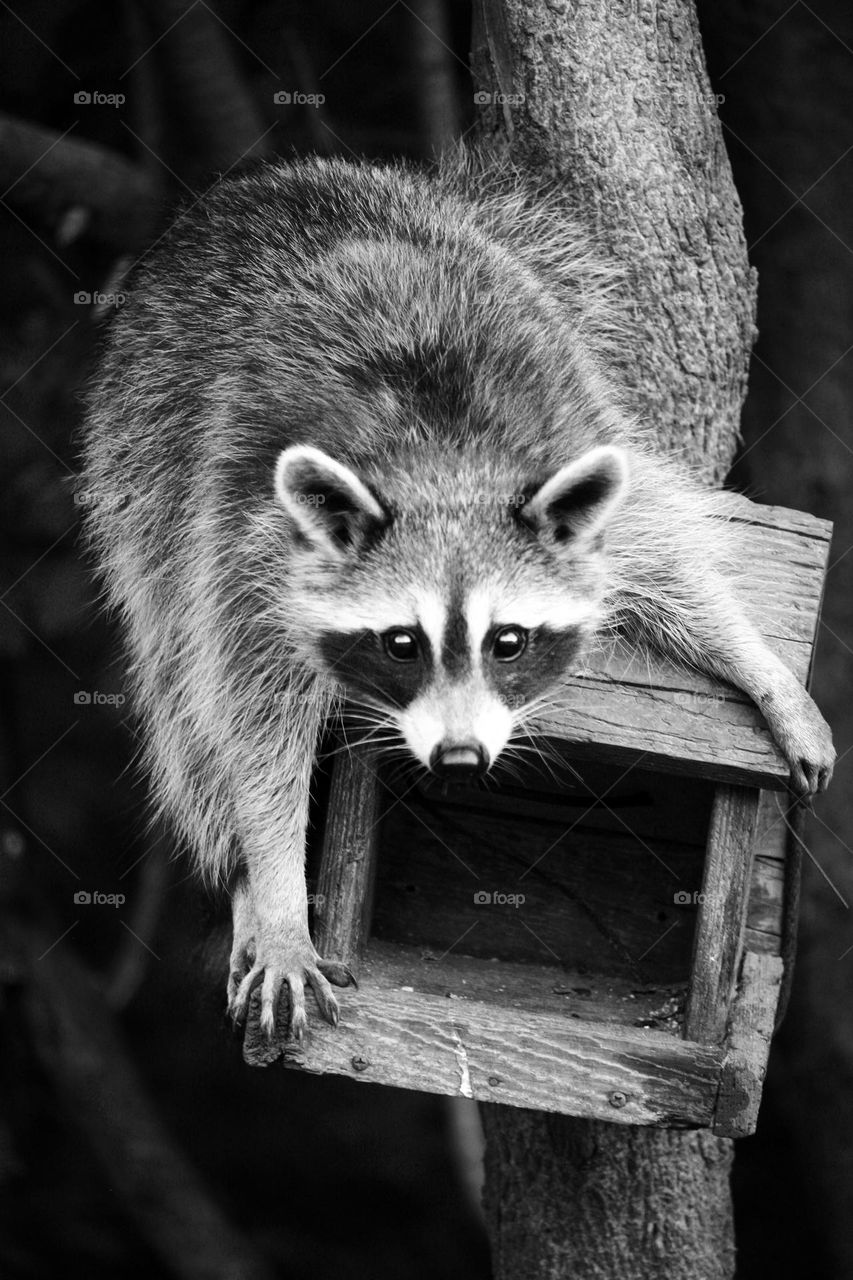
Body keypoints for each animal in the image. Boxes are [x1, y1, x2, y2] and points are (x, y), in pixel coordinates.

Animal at [83, 154, 835, 1044]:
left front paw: (756, 663)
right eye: (400, 643)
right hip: (141, 456)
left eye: (506, 641)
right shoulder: (247, 536)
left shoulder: (567, 444)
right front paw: (272, 885)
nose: (460, 759)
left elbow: (660, 549)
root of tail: (277, 179)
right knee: (181, 683)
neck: (439, 465)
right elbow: (249, 715)